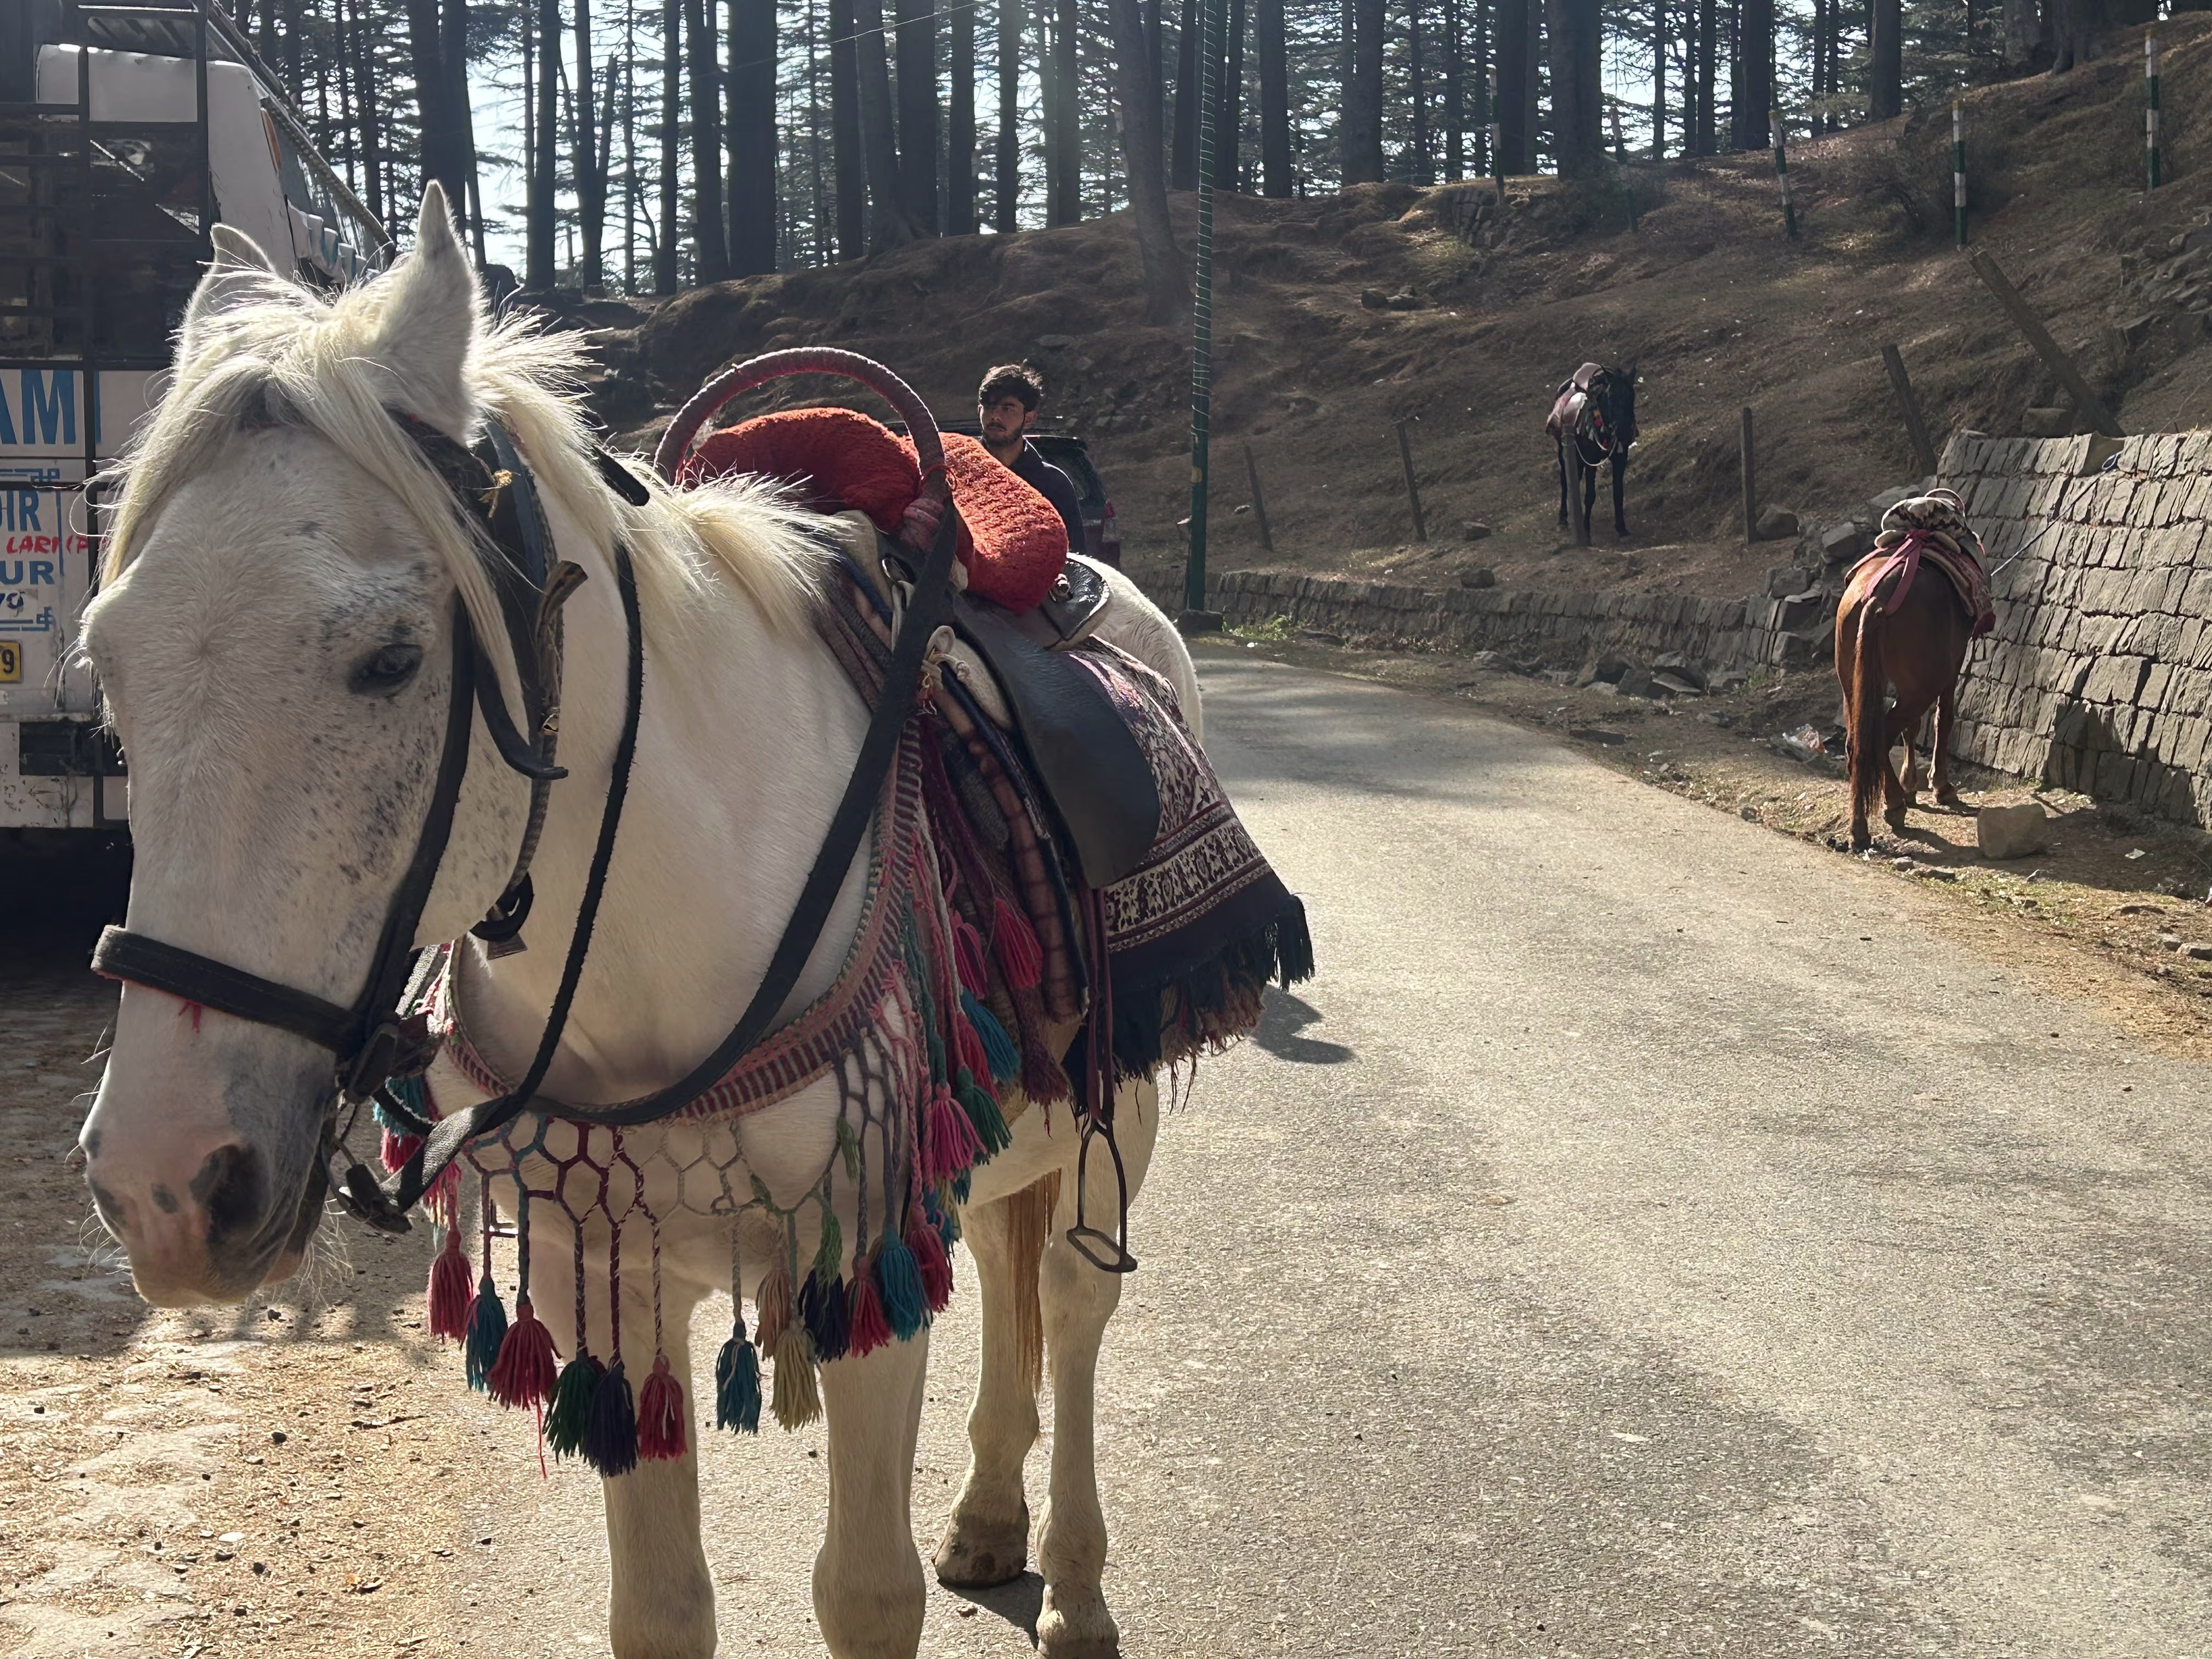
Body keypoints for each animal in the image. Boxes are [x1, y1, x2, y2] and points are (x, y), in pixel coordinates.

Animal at [73, 186, 1216, 1659]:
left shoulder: (865, 1267)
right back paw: (989, 1515)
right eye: (106, 665)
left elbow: (867, 1591)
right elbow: (662, 1606)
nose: (165, 1184)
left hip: (1103, 1119)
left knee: (1072, 1312)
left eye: (391, 659)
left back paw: (1074, 1583)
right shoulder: (600, 1275)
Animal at [1545, 361, 1638, 543]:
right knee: (1565, 482)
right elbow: (1590, 495)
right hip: (1563, 451)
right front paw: (1587, 532)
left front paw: (1622, 528)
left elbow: (1618, 492)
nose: (1624, 432)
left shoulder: (1621, 458)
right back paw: (1563, 521)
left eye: (1631, 396)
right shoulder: (1591, 461)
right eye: (1611, 397)